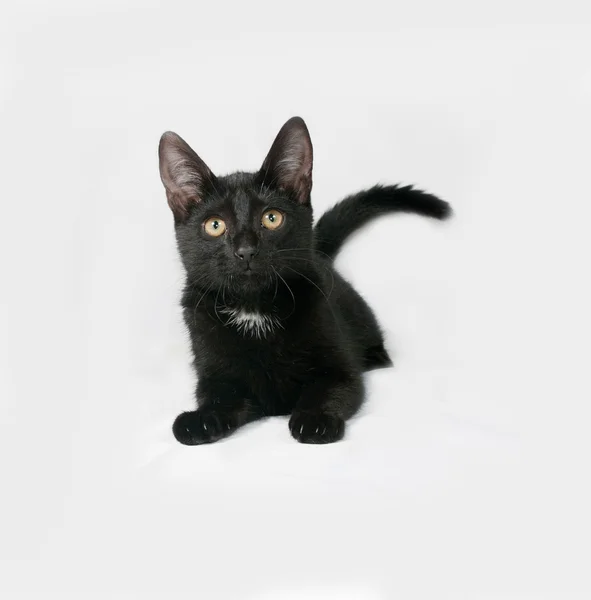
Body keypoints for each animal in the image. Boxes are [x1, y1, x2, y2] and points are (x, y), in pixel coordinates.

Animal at [160, 118, 450, 446]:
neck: (254, 309)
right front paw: (200, 420)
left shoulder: (340, 366)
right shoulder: (215, 372)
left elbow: (329, 389)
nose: (245, 250)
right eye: (215, 225)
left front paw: (315, 420)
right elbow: (220, 397)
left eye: (272, 218)